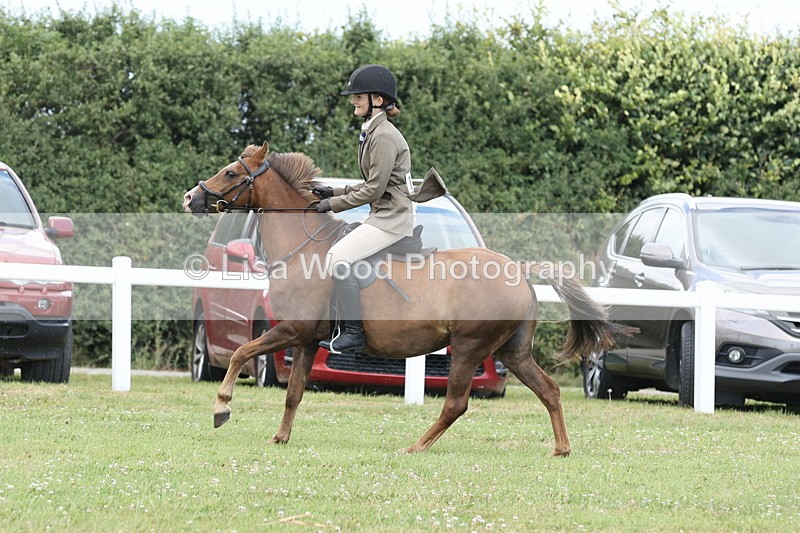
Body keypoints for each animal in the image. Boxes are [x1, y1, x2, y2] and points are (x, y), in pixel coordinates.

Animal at [182, 141, 634, 456]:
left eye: (229, 173)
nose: (191, 197)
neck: (302, 249)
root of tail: (518, 273)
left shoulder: (292, 331)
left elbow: (241, 354)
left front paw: (222, 408)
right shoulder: (306, 340)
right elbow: (293, 393)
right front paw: (280, 437)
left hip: (470, 347)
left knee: (456, 404)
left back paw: (416, 446)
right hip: (512, 351)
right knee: (549, 391)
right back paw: (561, 448)